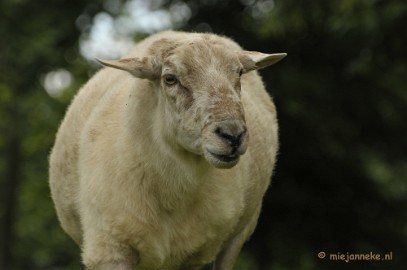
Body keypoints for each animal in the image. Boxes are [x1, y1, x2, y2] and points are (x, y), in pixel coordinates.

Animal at [48, 30, 286, 270]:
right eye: (170, 78)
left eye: (239, 73)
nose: (233, 134)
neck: (173, 193)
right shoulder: (110, 248)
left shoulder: (193, 256)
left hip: (237, 234)